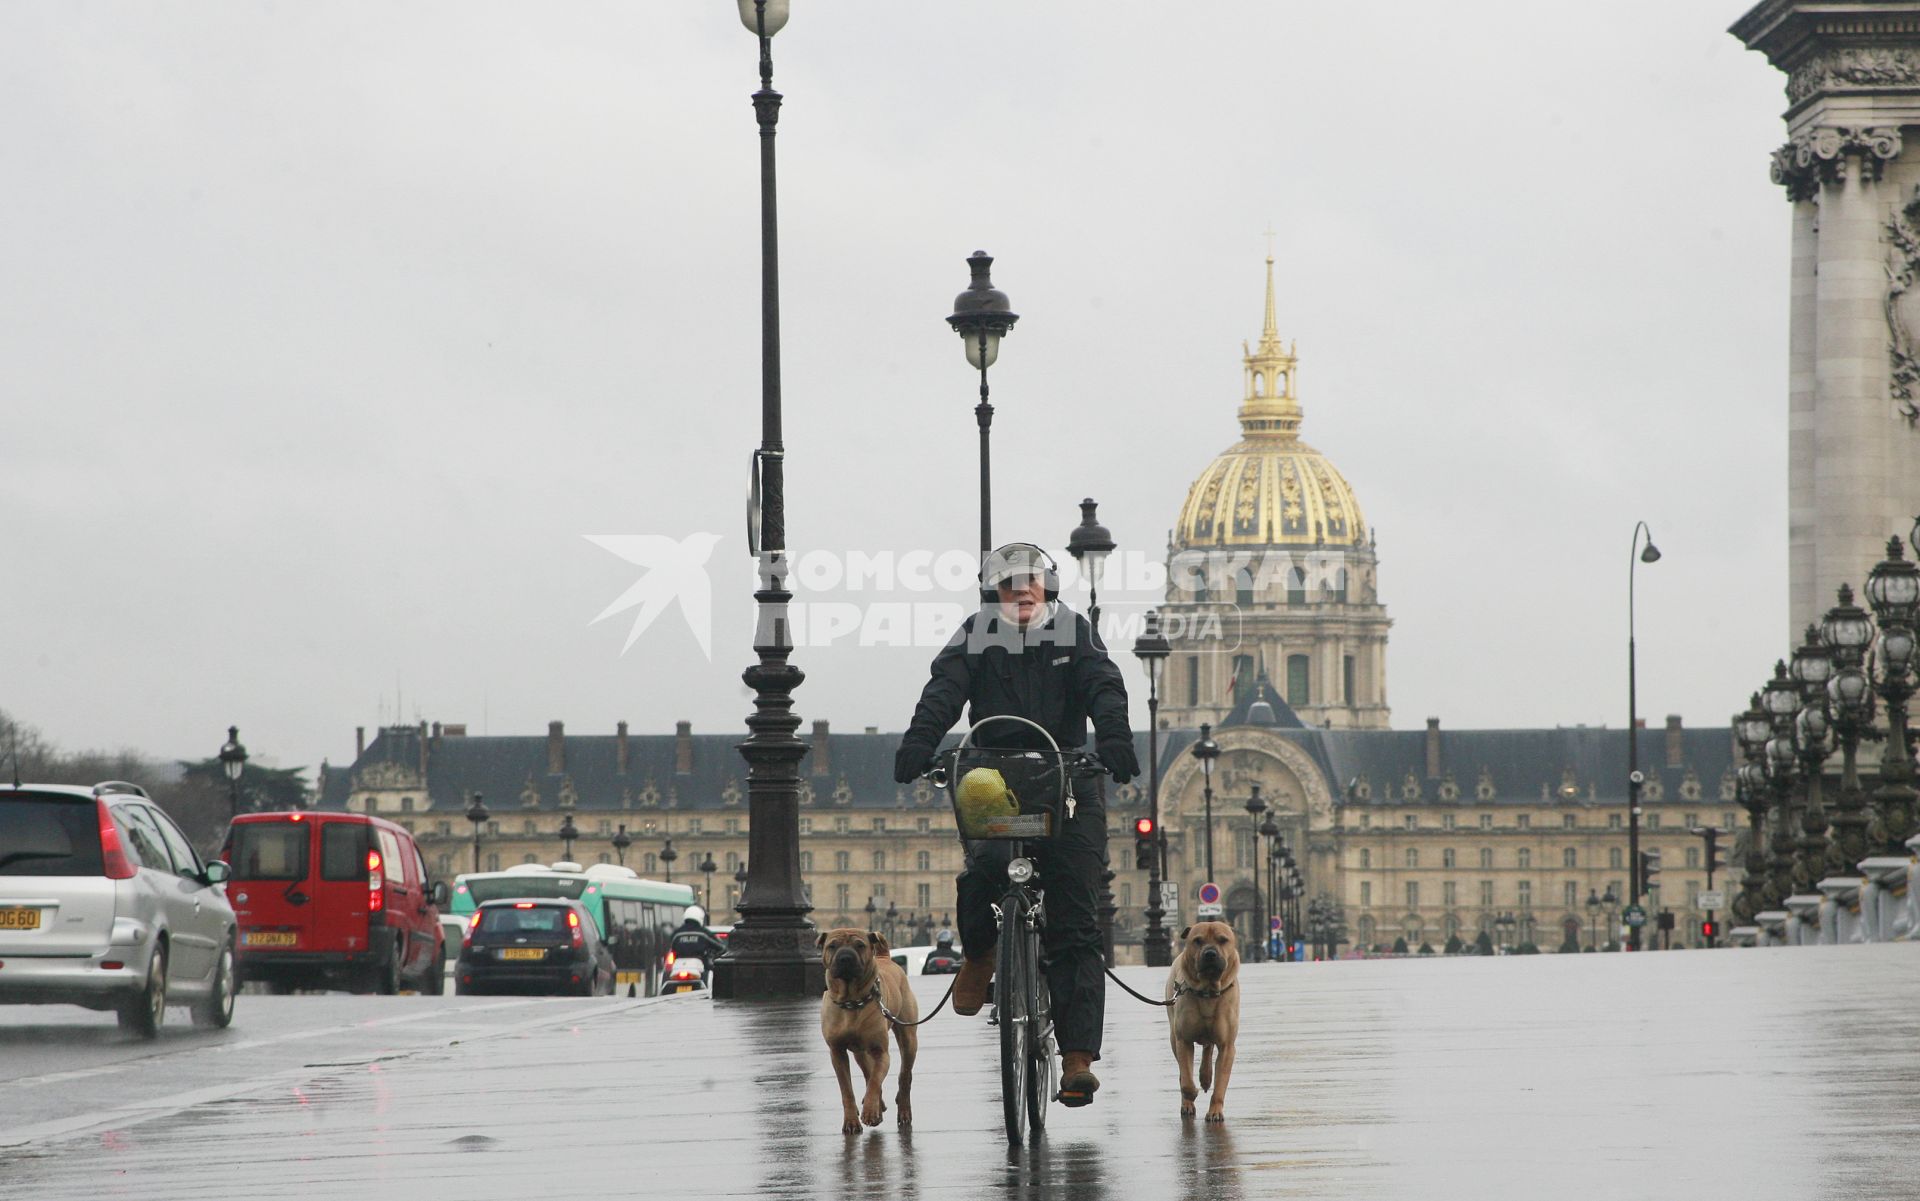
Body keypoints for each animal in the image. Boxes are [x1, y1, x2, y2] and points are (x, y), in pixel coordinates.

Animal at [817, 924, 921, 1128]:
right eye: (832, 945)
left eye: (860, 945)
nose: (845, 957)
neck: (851, 1001)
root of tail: (886, 958)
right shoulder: (837, 1053)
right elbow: (847, 1090)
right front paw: (851, 1121)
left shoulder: (880, 1051)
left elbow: (874, 1082)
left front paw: (871, 1112)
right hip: (859, 1052)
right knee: (867, 1072)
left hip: (908, 1038)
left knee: (904, 1076)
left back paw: (903, 1111)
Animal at [1167, 917, 1244, 1120]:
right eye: (1197, 940)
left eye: (1223, 940)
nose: (1210, 954)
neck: (1207, 991)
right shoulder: (1183, 1040)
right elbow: (1186, 1079)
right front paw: (1191, 1093)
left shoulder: (1227, 1046)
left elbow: (1221, 1083)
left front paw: (1215, 1111)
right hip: (1173, 1038)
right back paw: (1188, 1101)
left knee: (1208, 1049)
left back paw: (1206, 1077)